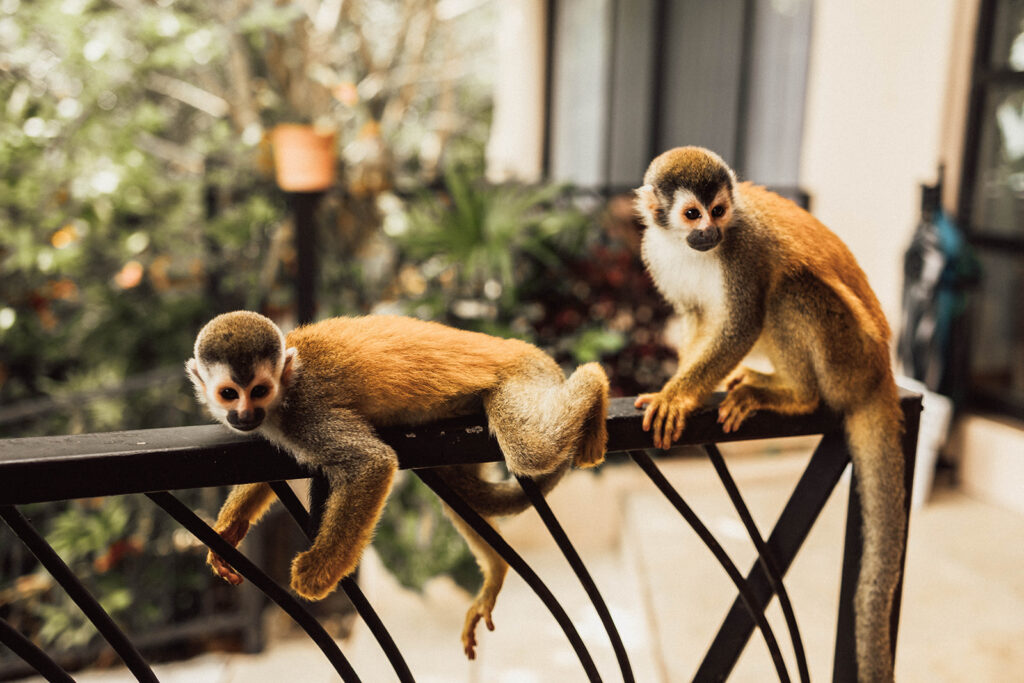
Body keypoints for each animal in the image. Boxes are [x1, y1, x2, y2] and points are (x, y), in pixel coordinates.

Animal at [186, 311, 609, 659]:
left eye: (258, 390)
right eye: (229, 394)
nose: (244, 415)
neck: (283, 392)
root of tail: (525, 349)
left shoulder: (305, 414)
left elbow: (371, 462)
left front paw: (317, 573)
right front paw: (229, 529)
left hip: (526, 376)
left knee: (531, 452)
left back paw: (596, 382)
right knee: (463, 494)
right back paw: (496, 573)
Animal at [633, 147, 906, 682]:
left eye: (719, 211)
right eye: (692, 214)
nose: (709, 233)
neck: (688, 248)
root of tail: (880, 369)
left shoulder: (743, 248)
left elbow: (742, 323)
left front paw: (678, 395)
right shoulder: (656, 251)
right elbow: (699, 318)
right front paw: (681, 388)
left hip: (847, 357)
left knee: (786, 290)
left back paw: (794, 395)